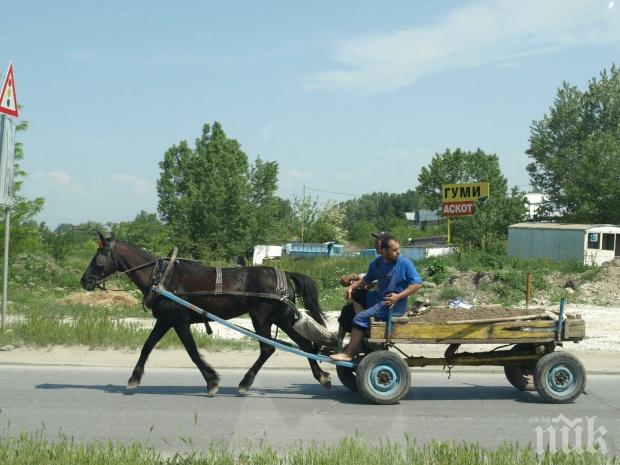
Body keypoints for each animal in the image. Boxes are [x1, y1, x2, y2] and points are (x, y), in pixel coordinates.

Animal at [82, 232, 334, 396]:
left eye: (99, 257)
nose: (84, 280)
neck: (162, 278)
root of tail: (285, 274)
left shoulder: (179, 322)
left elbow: (193, 353)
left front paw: (212, 382)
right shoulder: (165, 320)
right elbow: (147, 347)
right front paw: (134, 378)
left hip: (261, 317)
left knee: (268, 348)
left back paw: (245, 382)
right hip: (282, 317)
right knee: (305, 345)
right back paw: (321, 376)